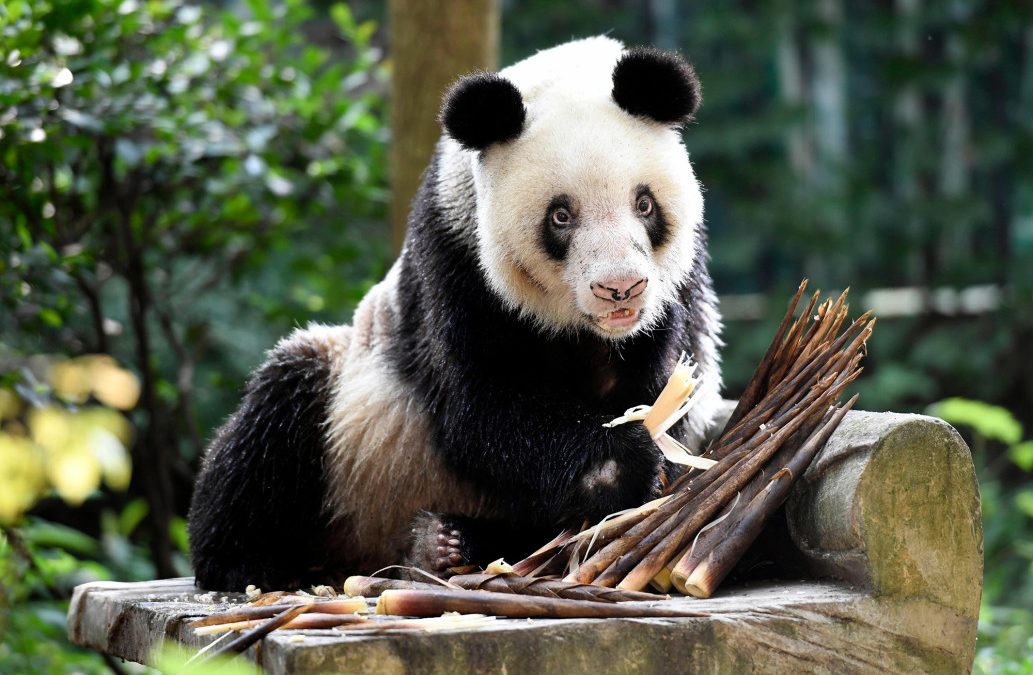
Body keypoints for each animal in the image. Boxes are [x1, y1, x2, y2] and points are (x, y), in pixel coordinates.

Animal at [188, 36, 723, 591]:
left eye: (644, 204)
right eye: (561, 215)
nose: (620, 289)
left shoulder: (683, 282)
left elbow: (670, 381)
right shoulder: (456, 258)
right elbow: (479, 407)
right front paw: (624, 461)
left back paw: (450, 542)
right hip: (347, 423)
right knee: (273, 417)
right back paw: (251, 560)